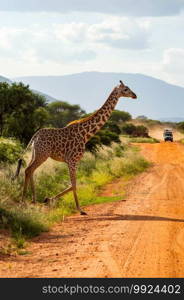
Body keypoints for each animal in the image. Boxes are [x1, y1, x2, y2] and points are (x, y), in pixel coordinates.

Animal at [14, 81, 137, 214]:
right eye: (126, 89)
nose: (135, 95)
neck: (86, 134)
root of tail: (35, 135)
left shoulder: (73, 161)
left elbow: (71, 184)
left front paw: (49, 199)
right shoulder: (72, 160)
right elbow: (73, 184)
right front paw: (80, 209)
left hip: (35, 153)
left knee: (30, 170)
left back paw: (33, 200)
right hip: (42, 154)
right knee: (28, 170)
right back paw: (23, 202)